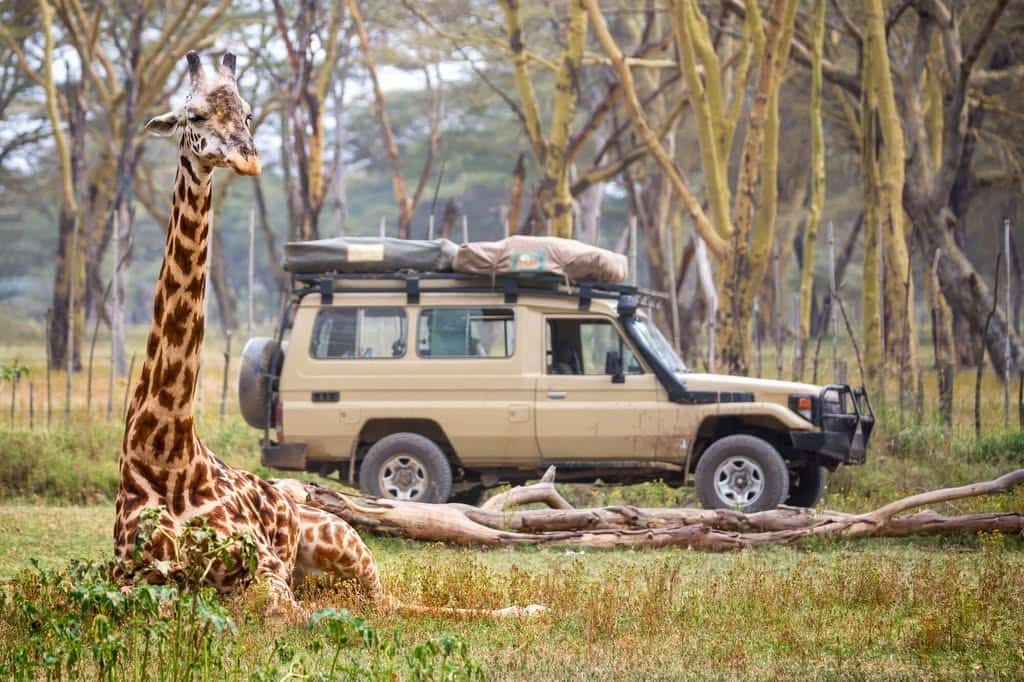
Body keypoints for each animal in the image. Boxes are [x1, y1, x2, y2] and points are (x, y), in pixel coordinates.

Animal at [115, 50, 541, 620]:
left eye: (248, 114)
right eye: (196, 116)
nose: (248, 159)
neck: (164, 452)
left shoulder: (267, 574)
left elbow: (281, 614)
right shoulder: (126, 576)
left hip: (344, 545)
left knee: (387, 605)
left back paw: (526, 609)